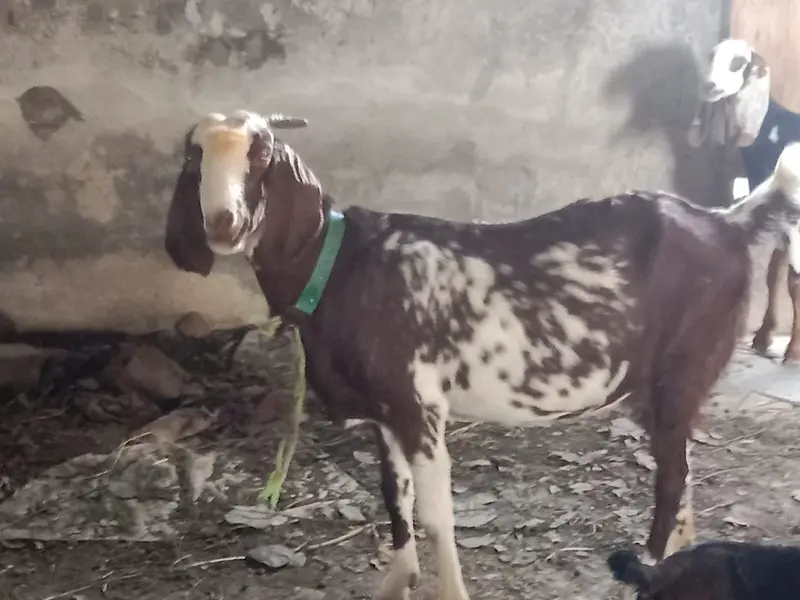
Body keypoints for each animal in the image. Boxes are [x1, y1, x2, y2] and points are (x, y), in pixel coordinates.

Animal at [688, 38, 800, 364]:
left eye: (739, 63)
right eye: (711, 56)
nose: (709, 86)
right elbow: (774, 274)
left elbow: (794, 281)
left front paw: (794, 350)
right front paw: (763, 337)